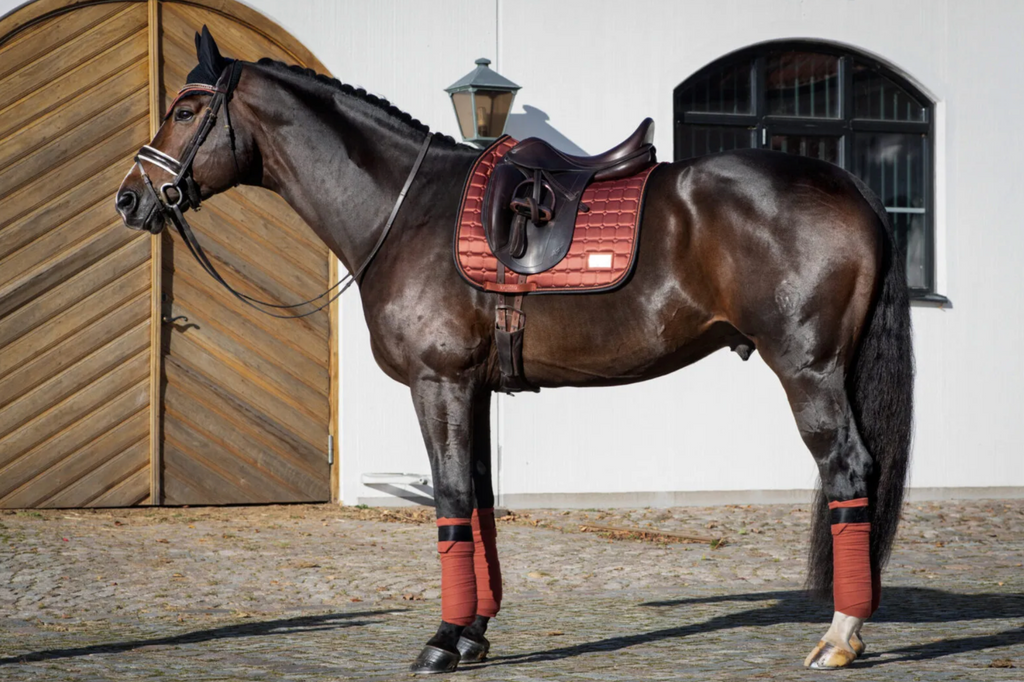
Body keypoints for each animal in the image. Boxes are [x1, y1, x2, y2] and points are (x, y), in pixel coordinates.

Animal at [116, 29, 913, 673]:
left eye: (185, 110)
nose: (130, 198)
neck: (409, 211)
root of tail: (848, 185)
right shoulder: (471, 389)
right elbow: (480, 501)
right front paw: (474, 634)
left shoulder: (436, 384)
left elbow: (449, 500)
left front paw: (442, 641)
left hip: (808, 370)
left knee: (847, 470)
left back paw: (840, 635)